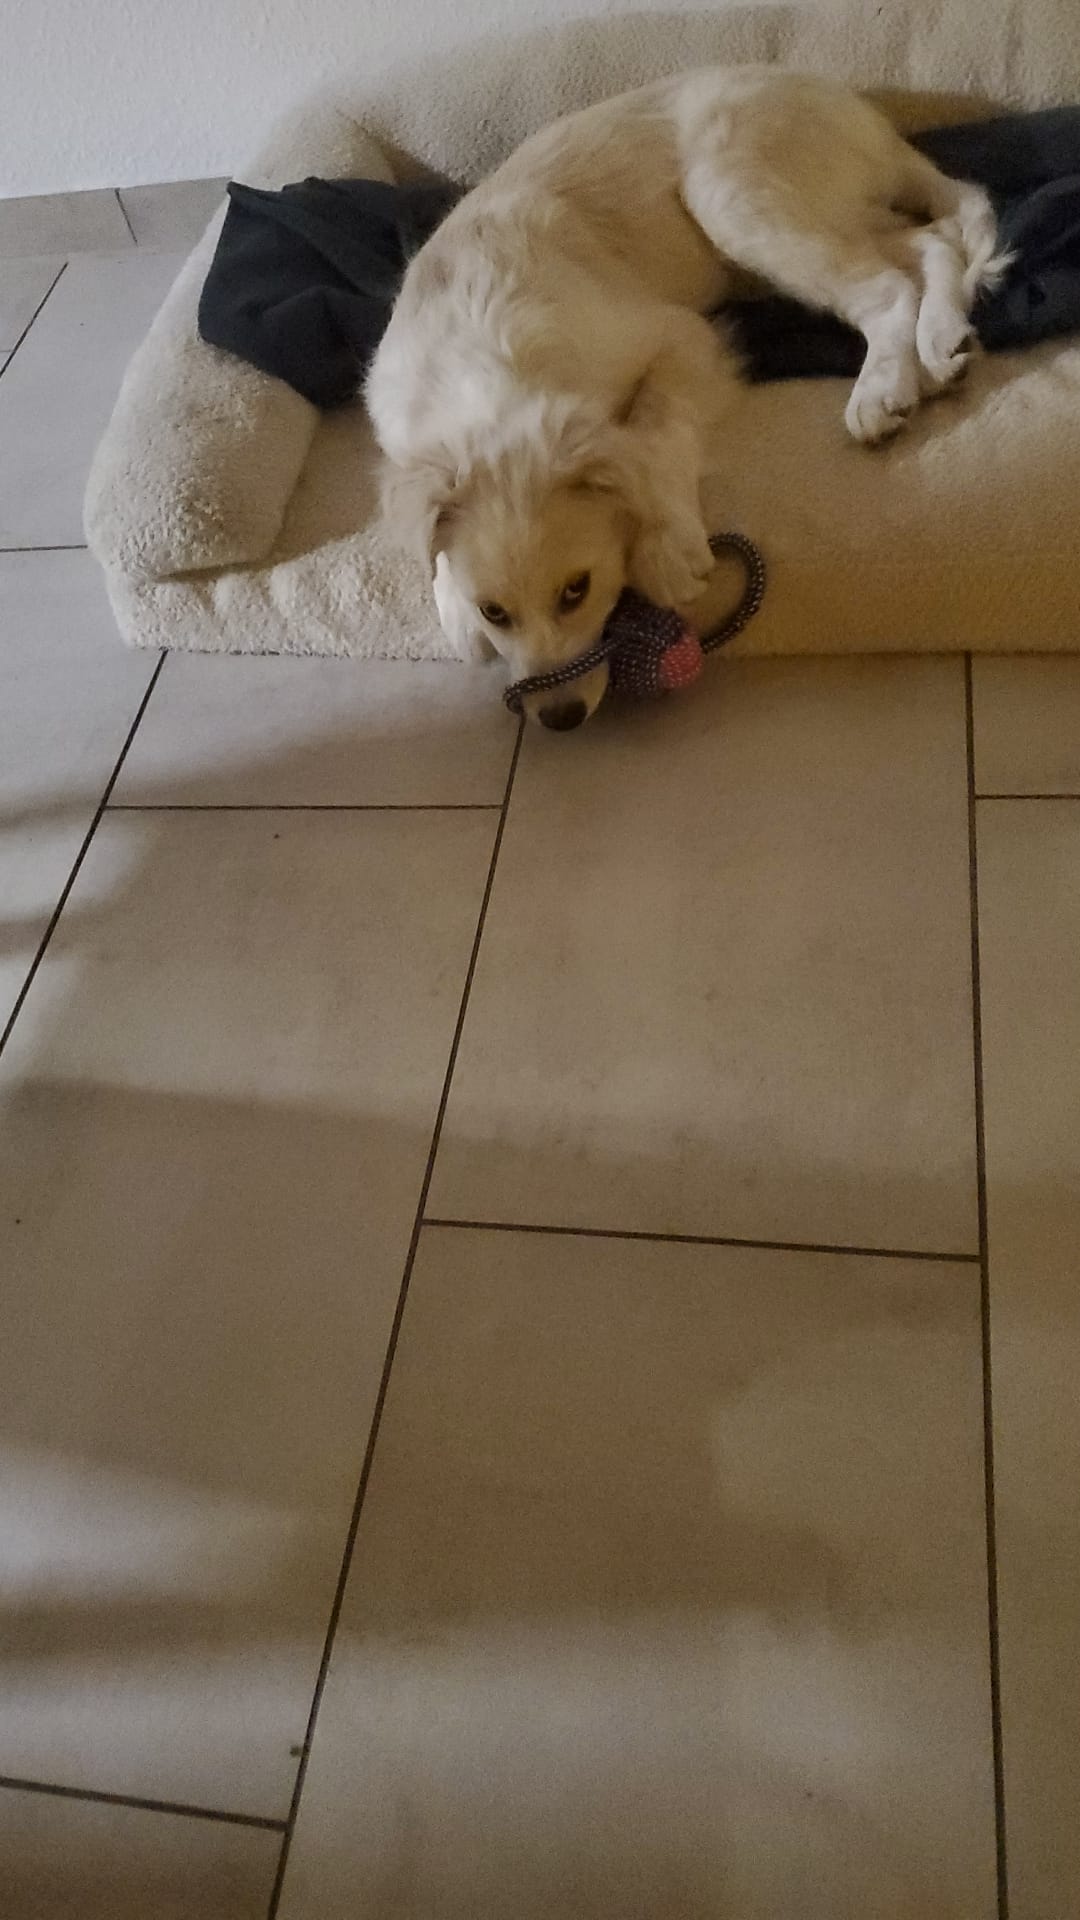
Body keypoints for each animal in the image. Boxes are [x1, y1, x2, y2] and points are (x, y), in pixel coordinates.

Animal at [366, 66, 1002, 728]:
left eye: (576, 591)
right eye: (495, 611)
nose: (560, 718)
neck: (478, 374)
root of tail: (857, 108)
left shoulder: (680, 337)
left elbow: (652, 428)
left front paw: (667, 546)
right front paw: (454, 608)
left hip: (733, 196)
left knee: (890, 285)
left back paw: (883, 388)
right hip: (813, 223)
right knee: (933, 242)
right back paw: (943, 343)